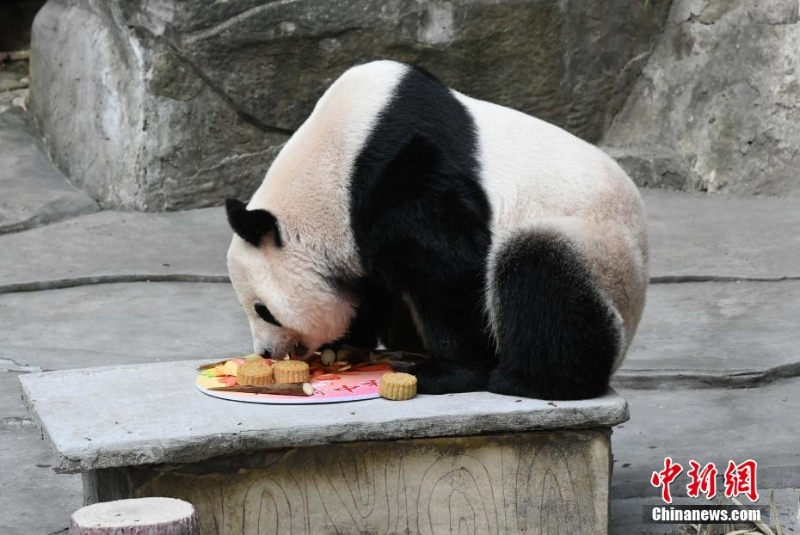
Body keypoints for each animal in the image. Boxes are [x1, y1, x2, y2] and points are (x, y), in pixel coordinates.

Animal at [222, 60, 648, 400]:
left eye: (264, 310)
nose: (266, 353)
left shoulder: (403, 171)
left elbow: (449, 272)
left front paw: (443, 373)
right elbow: (374, 288)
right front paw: (346, 343)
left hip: (601, 252)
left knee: (539, 269)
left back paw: (528, 381)